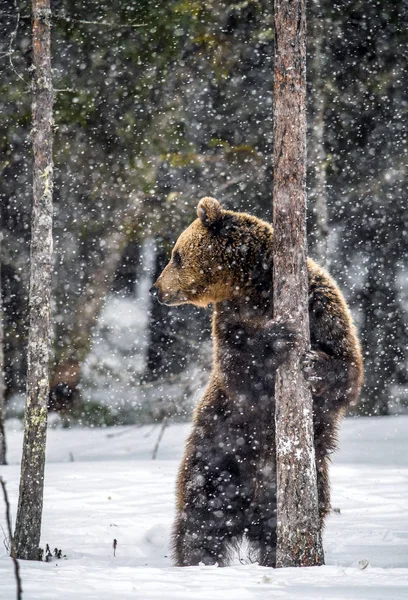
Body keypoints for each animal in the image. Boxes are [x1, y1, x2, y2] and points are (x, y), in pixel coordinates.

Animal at [151, 196, 362, 568]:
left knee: (277, 526)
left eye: (176, 255)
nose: (157, 289)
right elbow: (238, 367)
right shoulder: (229, 321)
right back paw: (197, 562)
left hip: (304, 480)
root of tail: (245, 512)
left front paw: (314, 363)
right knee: (199, 518)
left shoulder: (319, 302)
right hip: (215, 454)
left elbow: (347, 368)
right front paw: (277, 336)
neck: (256, 288)